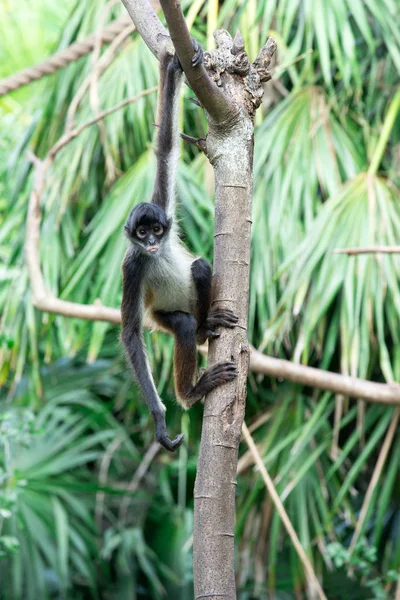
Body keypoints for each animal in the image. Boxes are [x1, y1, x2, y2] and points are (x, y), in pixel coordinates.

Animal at [121, 39, 238, 452]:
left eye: (157, 229)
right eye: (142, 235)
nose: (154, 243)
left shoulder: (163, 206)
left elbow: (167, 148)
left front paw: (177, 67)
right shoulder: (132, 265)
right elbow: (131, 334)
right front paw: (159, 421)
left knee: (200, 268)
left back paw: (206, 327)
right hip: (163, 316)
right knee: (182, 325)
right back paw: (191, 390)